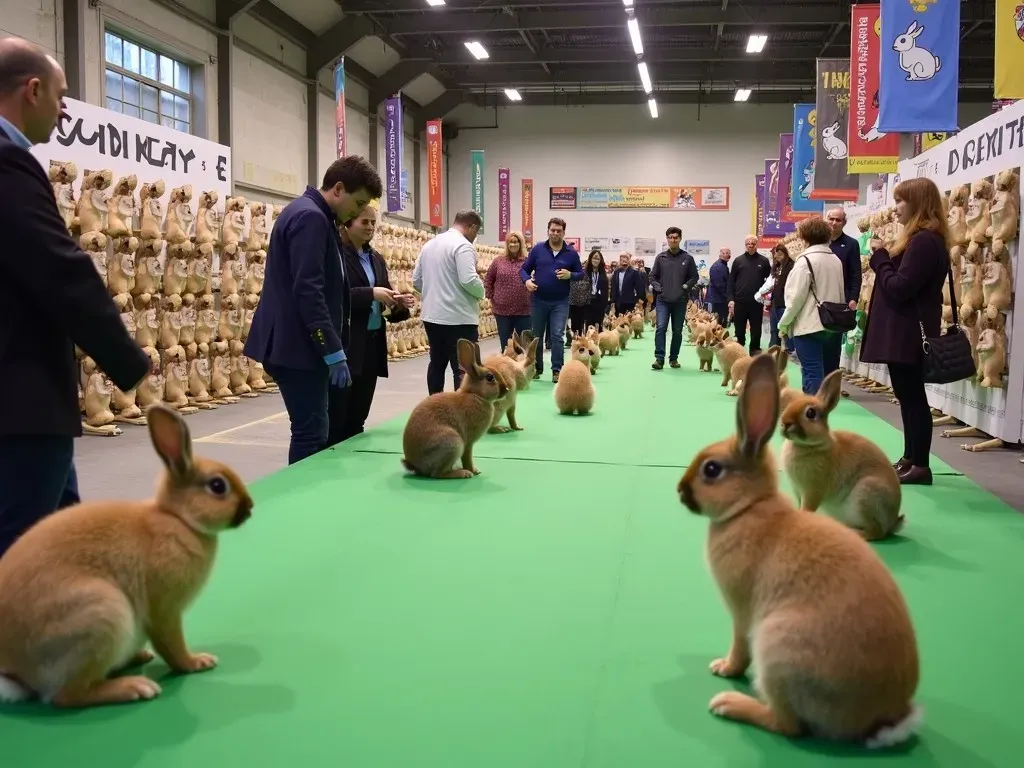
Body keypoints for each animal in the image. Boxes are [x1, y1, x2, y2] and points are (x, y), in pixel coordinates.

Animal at [0, 405, 251, 712]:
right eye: (217, 486)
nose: (249, 508)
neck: (178, 519)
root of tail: (15, 671)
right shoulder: (165, 609)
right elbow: (172, 644)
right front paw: (197, 662)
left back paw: (137, 659)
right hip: (101, 614)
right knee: (67, 696)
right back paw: (135, 687)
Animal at [401, 339, 509, 479]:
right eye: (490, 377)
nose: (506, 389)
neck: (475, 394)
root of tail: (414, 464)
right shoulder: (468, 443)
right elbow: (467, 458)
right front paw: (473, 471)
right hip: (453, 443)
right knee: (437, 475)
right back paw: (463, 473)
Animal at [778, 370, 901, 540]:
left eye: (810, 413)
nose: (785, 423)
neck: (811, 446)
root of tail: (893, 522)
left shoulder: (812, 492)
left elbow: (807, 509)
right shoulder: (797, 491)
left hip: (865, 495)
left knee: (876, 532)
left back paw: (854, 533)